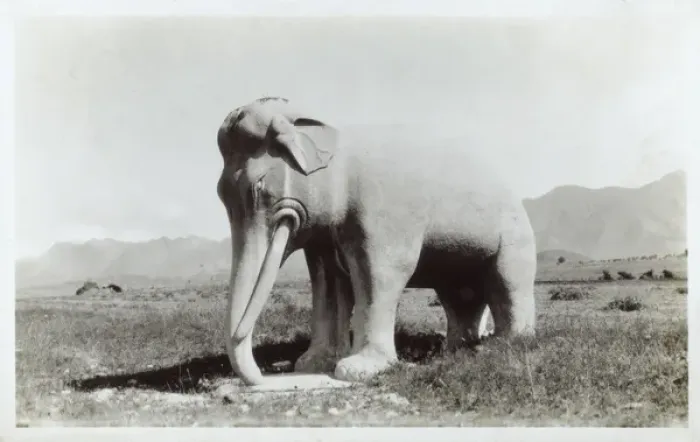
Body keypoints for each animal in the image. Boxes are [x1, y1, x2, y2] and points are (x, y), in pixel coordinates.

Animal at [215, 97, 537, 386]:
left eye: (259, 187)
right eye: (221, 194)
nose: (261, 377)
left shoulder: (382, 210)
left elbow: (380, 274)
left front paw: (356, 370)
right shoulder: (324, 237)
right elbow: (327, 283)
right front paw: (312, 364)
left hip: (516, 234)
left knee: (507, 282)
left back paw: (502, 345)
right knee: (459, 295)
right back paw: (457, 349)